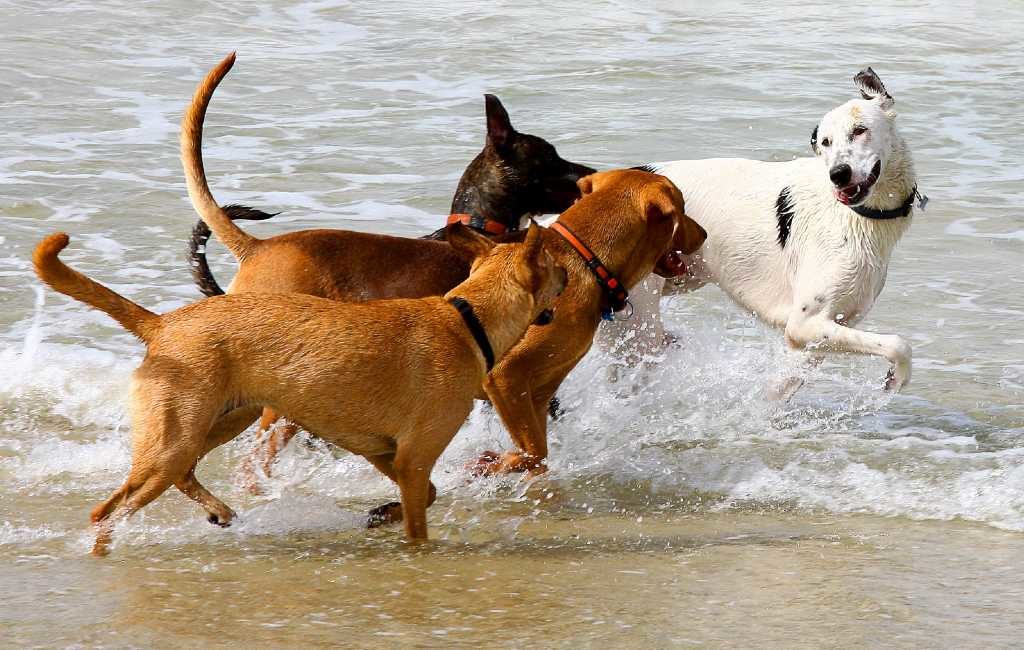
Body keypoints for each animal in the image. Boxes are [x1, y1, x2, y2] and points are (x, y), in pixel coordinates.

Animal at [32, 224, 565, 552]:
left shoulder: (383, 452)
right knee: (107, 510)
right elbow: (420, 522)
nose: (567, 280)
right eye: (557, 271)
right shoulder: (413, 458)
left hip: (222, 421)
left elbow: (427, 495)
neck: (468, 319)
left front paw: (381, 513)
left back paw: (220, 512)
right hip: (175, 438)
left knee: (184, 474)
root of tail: (163, 324)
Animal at [602, 66, 925, 395]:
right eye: (825, 142)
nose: (838, 174)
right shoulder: (803, 325)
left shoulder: (824, 332)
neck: (855, 215)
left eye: (860, 130)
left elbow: (780, 387)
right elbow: (899, 345)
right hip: (640, 324)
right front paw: (897, 377)